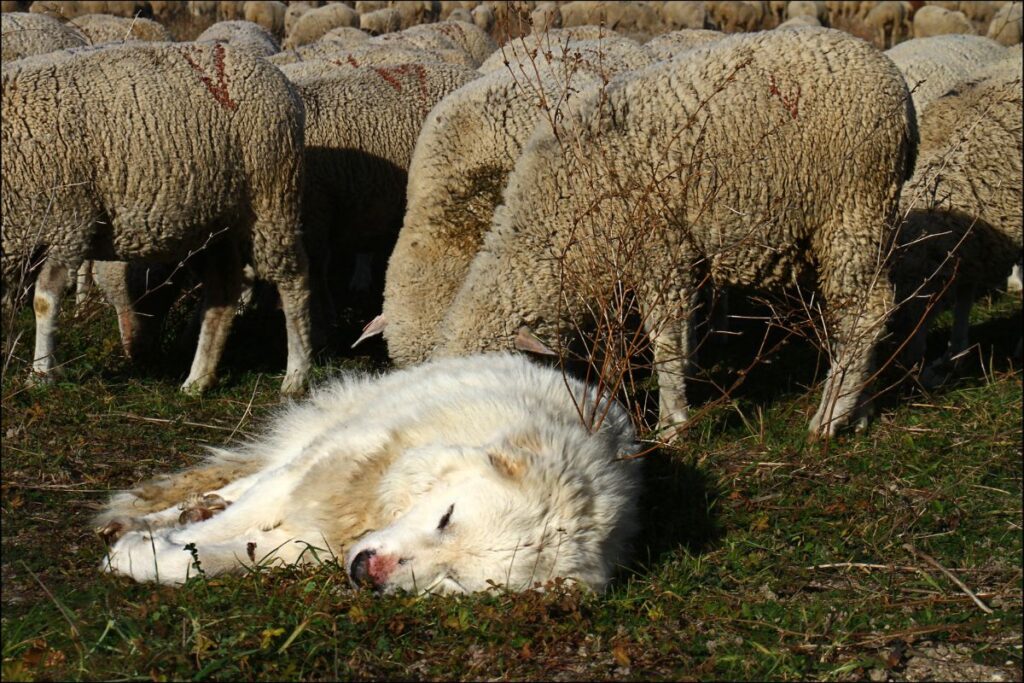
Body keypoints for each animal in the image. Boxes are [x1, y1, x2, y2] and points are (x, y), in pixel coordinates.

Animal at [1, 42, 313, 395]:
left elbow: (45, 301)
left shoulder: (69, 223)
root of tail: (276, 75)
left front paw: (40, 375)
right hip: (217, 223)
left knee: (293, 280)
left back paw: (296, 374)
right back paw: (198, 380)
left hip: (271, 199)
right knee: (223, 291)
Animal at [431, 28, 917, 440]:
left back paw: (830, 417)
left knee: (866, 313)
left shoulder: (660, 250)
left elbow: (664, 340)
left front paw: (672, 424)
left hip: (852, 204)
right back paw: (863, 410)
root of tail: (894, 81)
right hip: (872, 214)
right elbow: (680, 337)